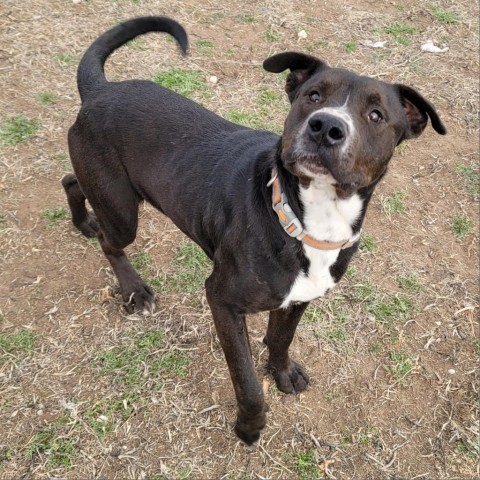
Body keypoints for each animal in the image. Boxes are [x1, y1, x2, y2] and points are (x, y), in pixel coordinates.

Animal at [62, 16, 448, 444]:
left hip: (108, 192)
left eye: (376, 115)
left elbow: (280, 339)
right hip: (121, 210)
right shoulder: (223, 300)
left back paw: (83, 221)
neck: (306, 217)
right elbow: (246, 381)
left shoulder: (299, 297)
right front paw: (249, 426)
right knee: (110, 241)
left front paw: (282, 372)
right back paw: (132, 289)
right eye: (313, 96)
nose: (326, 126)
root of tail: (101, 90)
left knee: (70, 181)